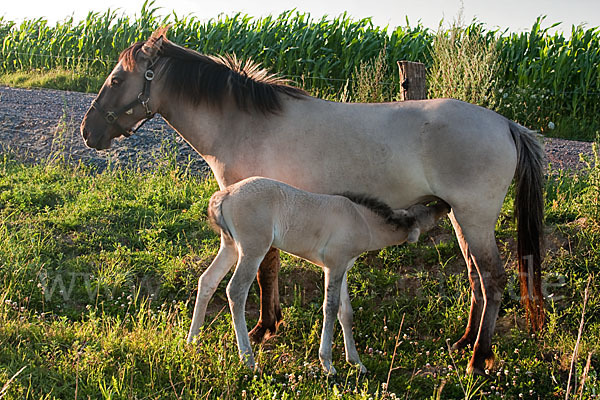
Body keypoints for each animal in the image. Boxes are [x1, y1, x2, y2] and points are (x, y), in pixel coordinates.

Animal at [188, 177, 450, 374]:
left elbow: (346, 313)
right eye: (428, 214)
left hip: (230, 246)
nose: (446, 205)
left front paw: (356, 362)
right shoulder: (334, 265)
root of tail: (225, 194)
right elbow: (330, 308)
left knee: (208, 281)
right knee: (236, 291)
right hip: (253, 249)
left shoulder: (342, 267)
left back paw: (193, 341)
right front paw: (328, 364)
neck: (362, 220)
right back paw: (248, 360)